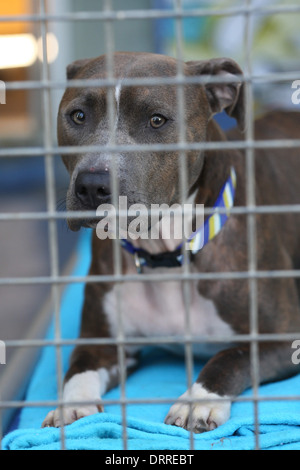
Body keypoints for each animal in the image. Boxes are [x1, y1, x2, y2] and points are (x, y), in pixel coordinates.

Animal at [42, 52, 300, 434]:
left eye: (156, 120)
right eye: (78, 116)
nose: (91, 185)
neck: (162, 254)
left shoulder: (283, 337)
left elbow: (230, 357)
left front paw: (198, 400)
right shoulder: (100, 340)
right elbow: (78, 369)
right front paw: (72, 405)